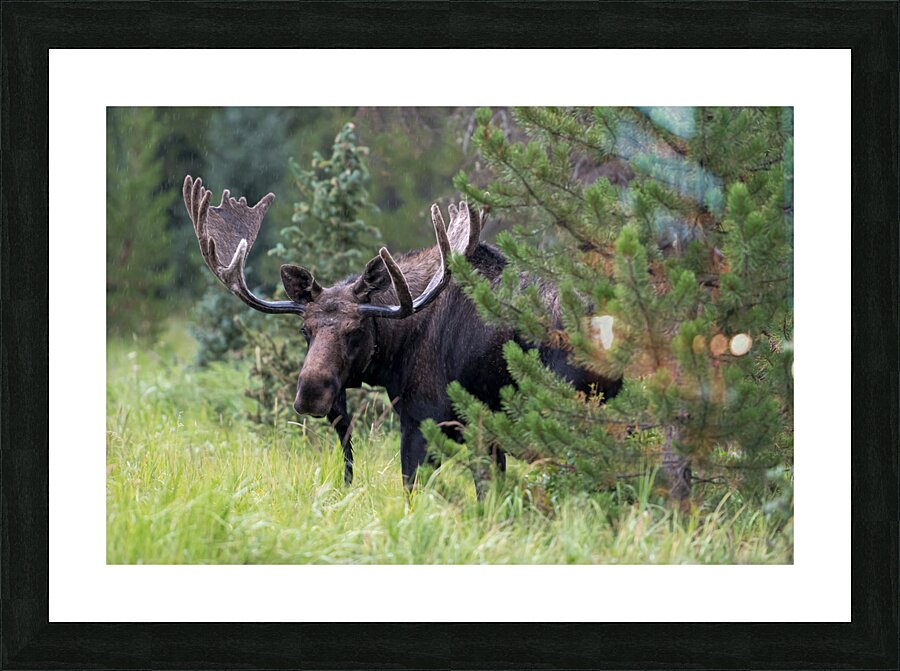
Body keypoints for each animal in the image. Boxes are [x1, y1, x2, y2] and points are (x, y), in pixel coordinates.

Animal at [183, 175, 621, 492]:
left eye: (355, 330)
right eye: (305, 329)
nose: (310, 392)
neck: (398, 346)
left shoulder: (423, 418)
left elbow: (414, 488)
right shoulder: (484, 436)